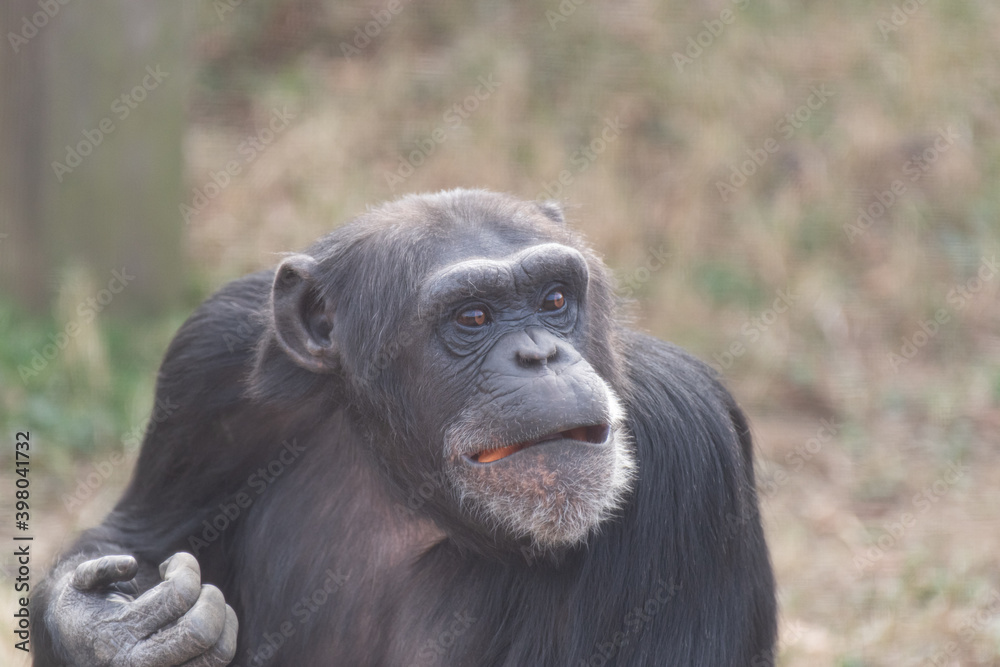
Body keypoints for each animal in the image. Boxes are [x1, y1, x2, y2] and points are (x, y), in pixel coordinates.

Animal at [31, 190, 776, 664]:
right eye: (472, 317)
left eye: (555, 298)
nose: (541, 355)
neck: (403, 474)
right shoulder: (209, 360)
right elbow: (137, 536)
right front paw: (109, 628)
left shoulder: (687, 448)